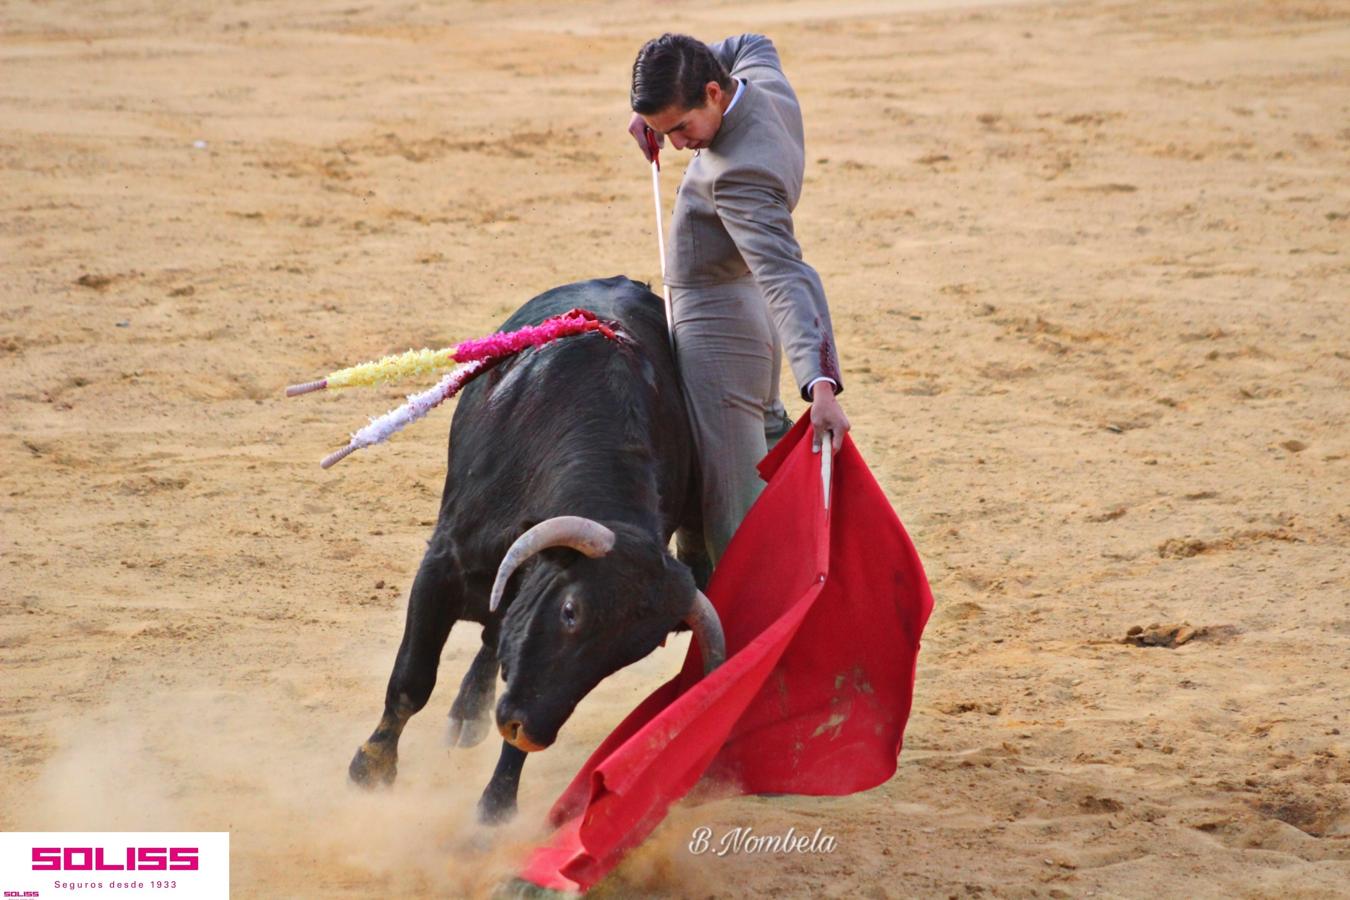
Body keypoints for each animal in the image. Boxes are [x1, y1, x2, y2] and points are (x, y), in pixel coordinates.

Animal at [348, 276, 729, 825]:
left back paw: (469, 713)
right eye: (571, 611)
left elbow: (513, 687)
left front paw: (495, 809)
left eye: (627, 655)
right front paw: (372, 767)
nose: (529, 728)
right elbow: (412, 679)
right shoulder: (441, 566)